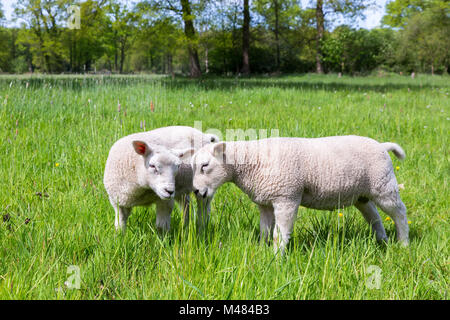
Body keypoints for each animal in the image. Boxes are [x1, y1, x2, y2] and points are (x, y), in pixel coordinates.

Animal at [192, 135, 410, 252]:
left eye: (205, 166)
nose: (196, 191)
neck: (253, 161)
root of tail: (382, 145)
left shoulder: (286, 197)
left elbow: (279, 234)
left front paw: (276, 258)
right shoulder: (265, 202)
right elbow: (265, 231)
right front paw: (262, 251)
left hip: (384, 186)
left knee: (400, 212)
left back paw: (404, 243)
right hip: (362, 194)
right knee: (373, 215)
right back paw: (382, 240)